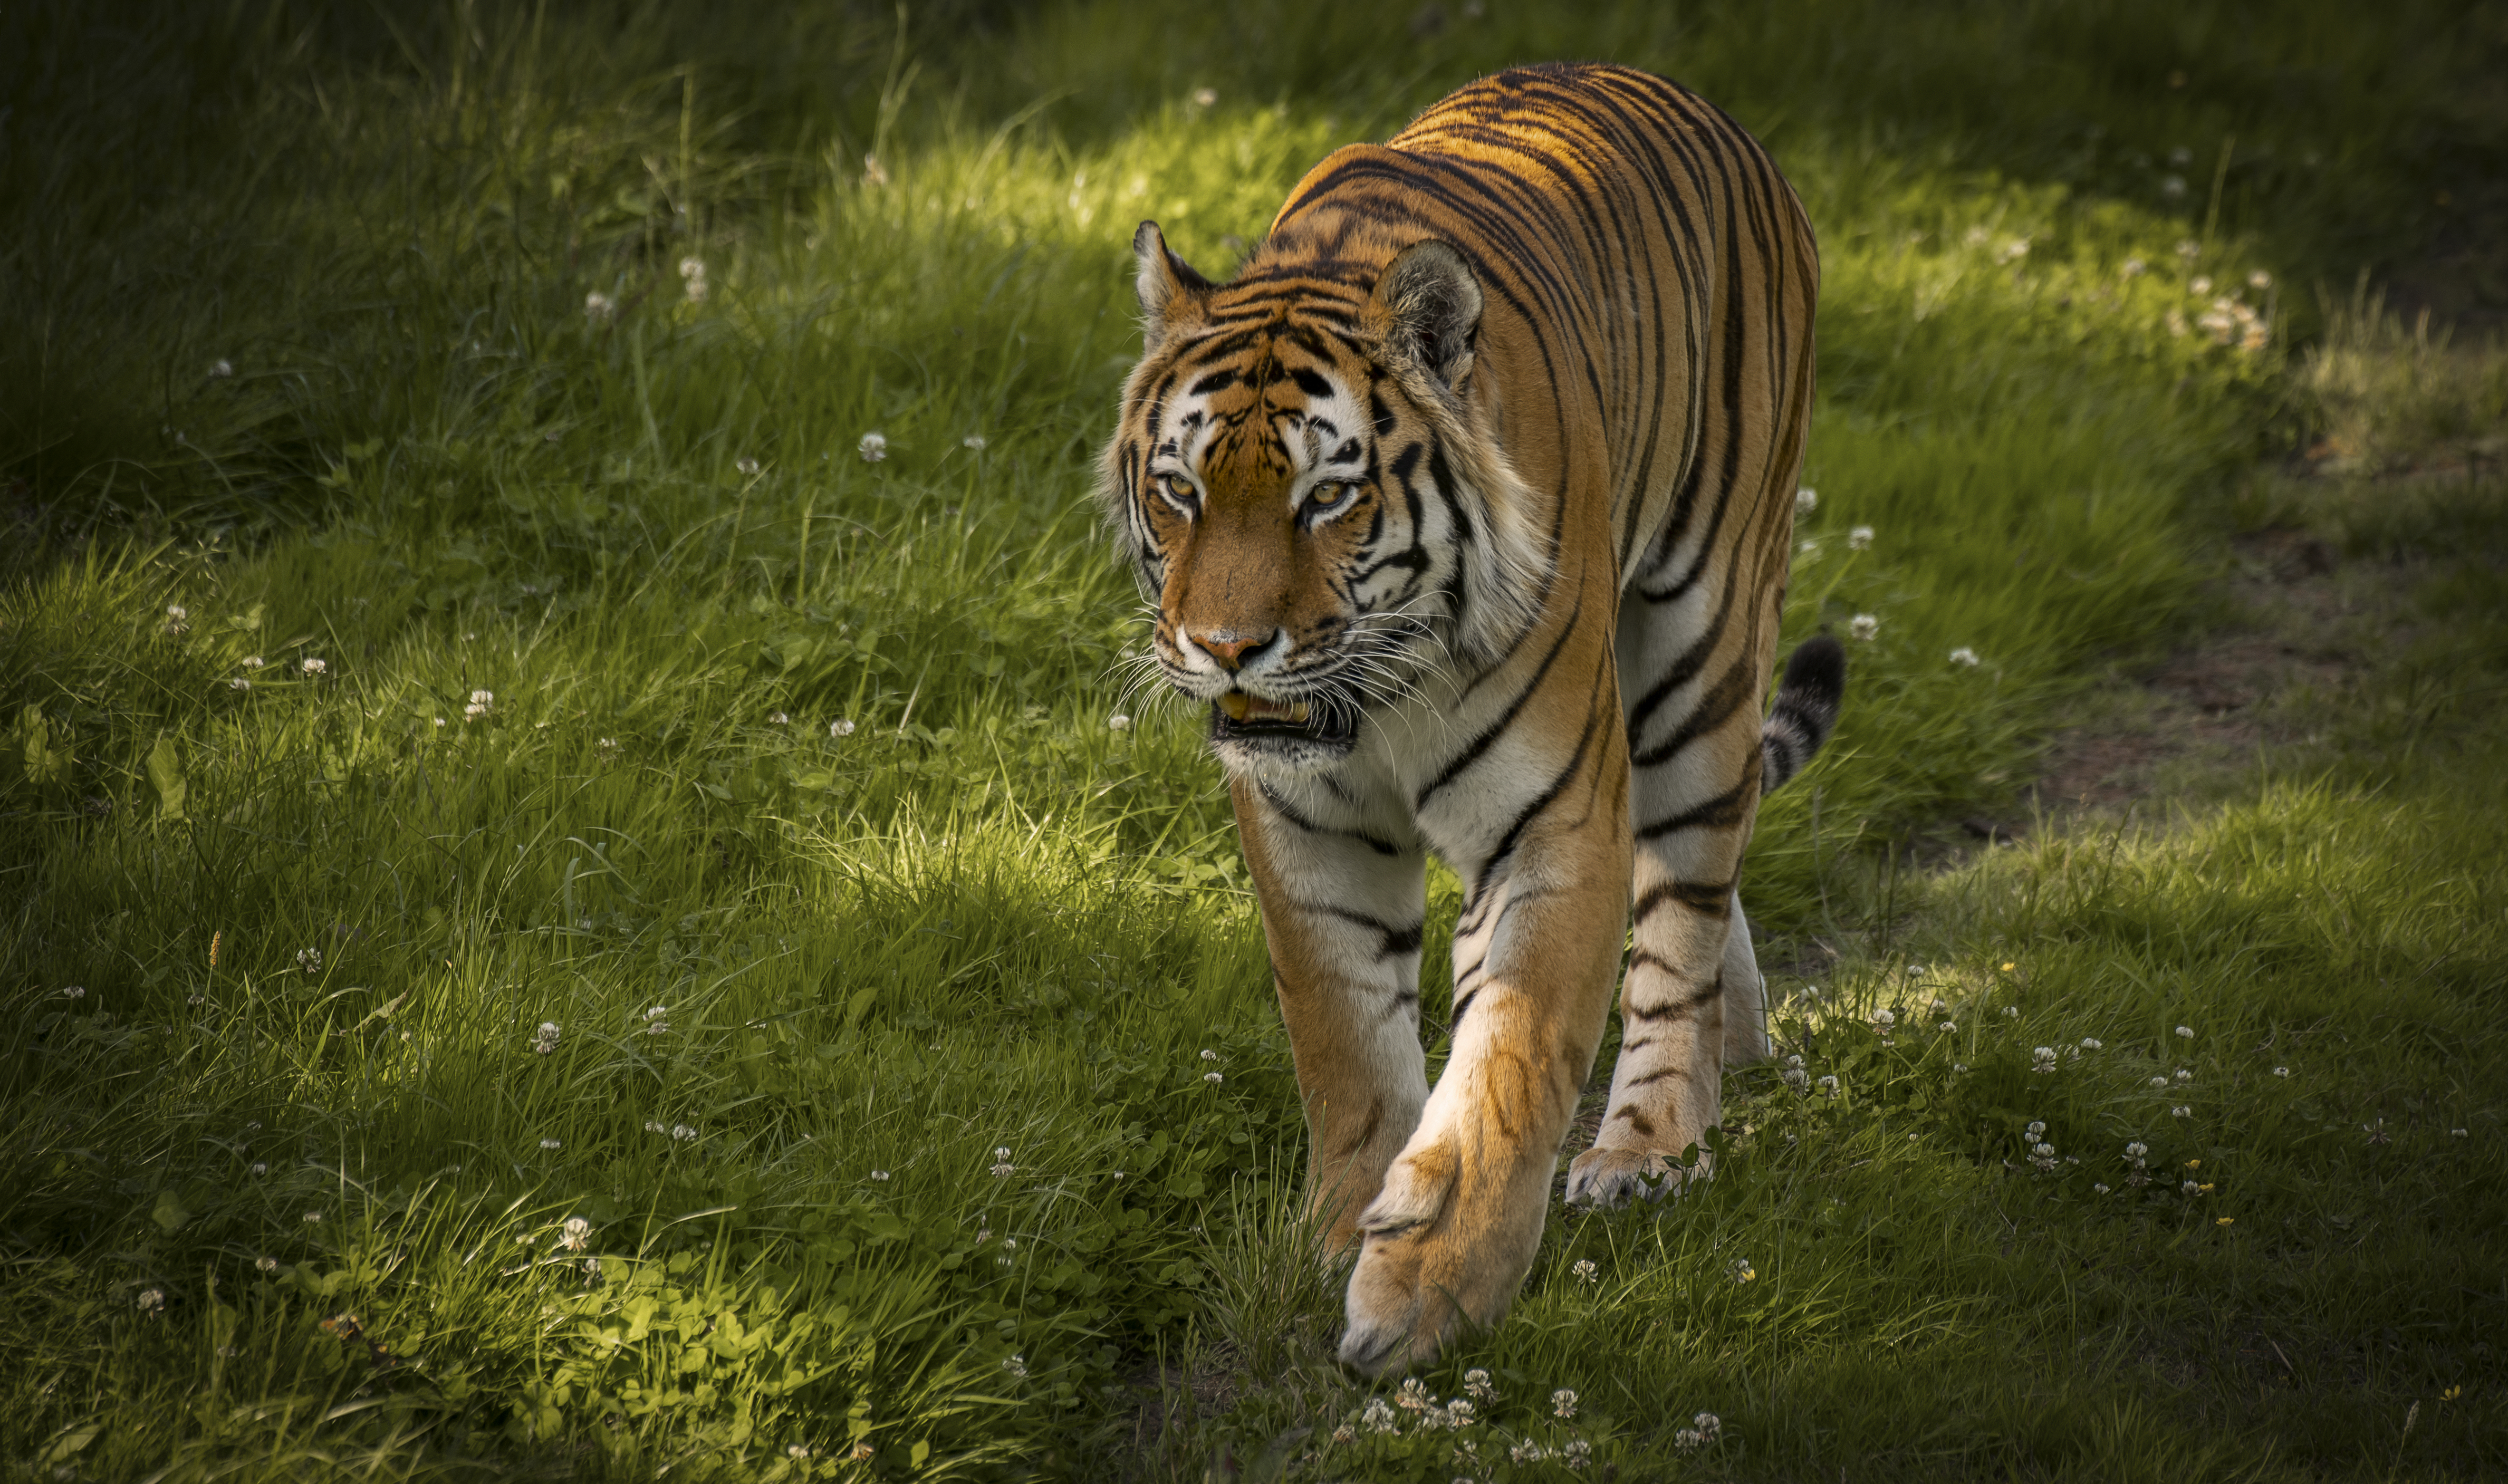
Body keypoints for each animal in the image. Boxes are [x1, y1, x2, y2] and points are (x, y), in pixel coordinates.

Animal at [1098, 64, 1846, 1373]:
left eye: (1326, 496)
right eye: (1179, 490)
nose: (1226, 649)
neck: (1375, 703)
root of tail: (1700, 104)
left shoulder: (1555, 825)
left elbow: (1511, 1061)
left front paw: (1424, 1292)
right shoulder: (1305, 831)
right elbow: (1344, 1043)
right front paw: (1346, 1229)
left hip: (1698, 648)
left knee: (1687, 900)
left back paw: (1651, 1141)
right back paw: (1742, 1041)